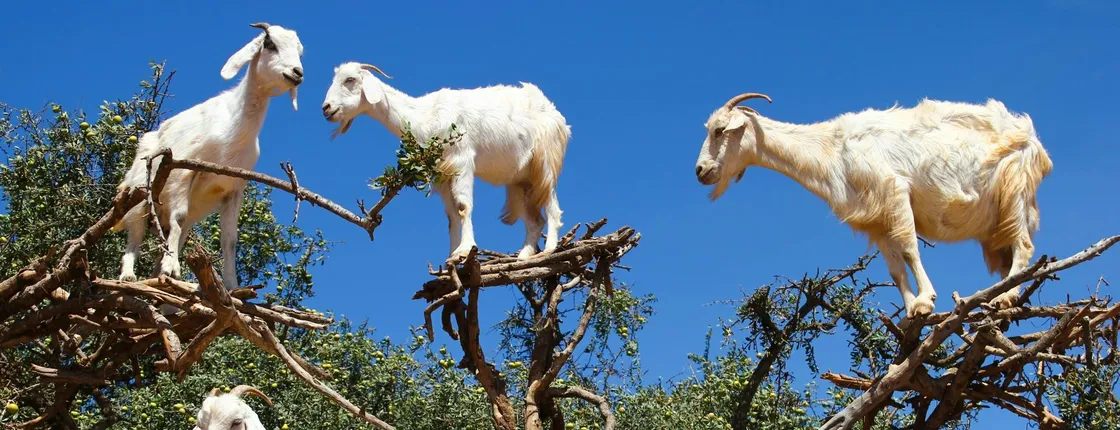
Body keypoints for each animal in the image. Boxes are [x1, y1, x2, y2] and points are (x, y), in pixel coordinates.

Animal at [112, 22, 304, 291]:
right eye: (269, 44)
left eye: (299, 50)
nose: (297, 73)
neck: (233, 127)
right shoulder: (182, 170)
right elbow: (179, 216)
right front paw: (172, 268)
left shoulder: (233, 188)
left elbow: (230, 239)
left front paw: (233, 285)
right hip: (140, 196)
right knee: (135, 235)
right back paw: (129, 276)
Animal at [320, 61, 571, 261]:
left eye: (350, 79)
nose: (326, 108)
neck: (425, 115)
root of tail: (557, 115)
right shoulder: (442, 173)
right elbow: (451, 217)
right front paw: (450, 257)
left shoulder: (462, 160)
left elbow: (463, 206)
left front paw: (465, 250)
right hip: (520, 180)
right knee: (534, 220)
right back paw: (524, 255)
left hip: (545, 163)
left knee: (552, 206)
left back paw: (549, 249)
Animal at [694, 93, 1053, 319]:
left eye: (720, 130)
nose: (700, 171)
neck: (833, 149)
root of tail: (1034, 140)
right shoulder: (877, 220)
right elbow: (894, 269)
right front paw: (909, 315)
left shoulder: (894, 192)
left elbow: (909, 249)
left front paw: (925, 302)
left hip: (1014, 191)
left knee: (1023, 245)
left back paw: (1005, 296)